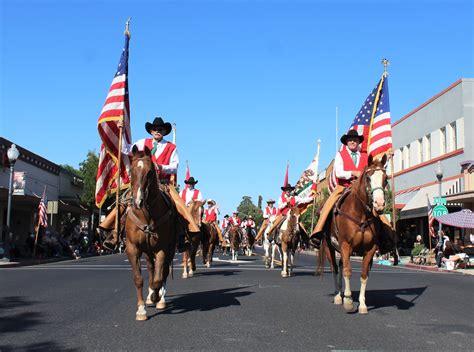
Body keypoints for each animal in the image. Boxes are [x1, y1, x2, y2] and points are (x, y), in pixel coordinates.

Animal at [125, 144, 177, 320]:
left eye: (150, 172)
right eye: (131, 170)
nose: (138, 201)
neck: (147, 214)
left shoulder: (162, 248)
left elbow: (158, 279)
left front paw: (156, 296)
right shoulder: (132, 248)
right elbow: (139, 278)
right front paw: (141, 309)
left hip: (169, 249)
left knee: (163, 273)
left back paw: (159, 299)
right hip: (147, 252)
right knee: (151, 269)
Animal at [320, 155, 390, 314]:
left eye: (386, 178)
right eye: (368, 178)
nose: (379, 204)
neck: (361, 215)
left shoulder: (370, 249)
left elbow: (364, 275)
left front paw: (362, 304)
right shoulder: (346, 245)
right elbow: (347, 271)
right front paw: (348, 301)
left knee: (340, 266)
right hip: (329, 247)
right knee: (335, 269)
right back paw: (338, 296)